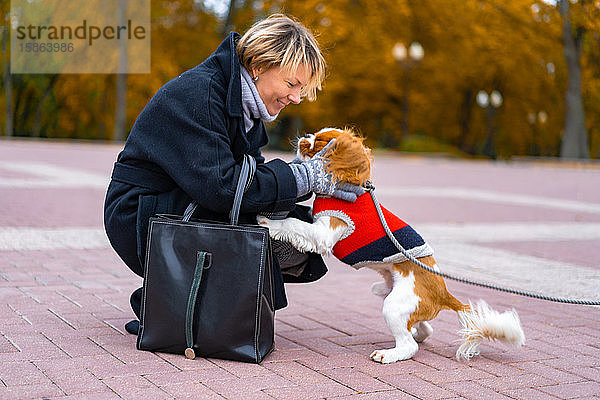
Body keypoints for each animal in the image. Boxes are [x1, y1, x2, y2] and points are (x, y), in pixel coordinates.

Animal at [258, 127, 524, 362]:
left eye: (320, 142)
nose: (305, 136)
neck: (344, 189)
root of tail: (444, 294)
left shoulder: (324, 231)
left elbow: (294, 224)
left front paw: (270, 223)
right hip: (394, 296)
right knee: (424, 329)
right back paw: (417, 334)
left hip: (394, 305)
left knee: (408, 346)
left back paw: (389, 354)